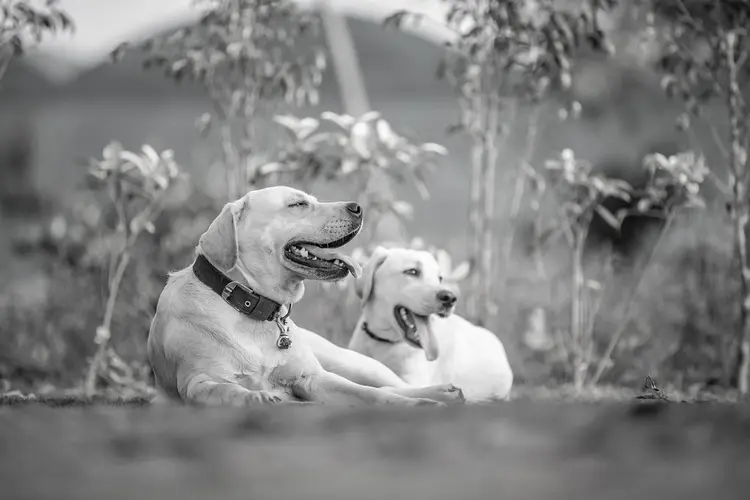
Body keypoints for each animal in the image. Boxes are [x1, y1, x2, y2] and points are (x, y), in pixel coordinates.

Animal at [148, 187, 468, 406]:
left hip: (355, 363)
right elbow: (227, 390)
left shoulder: (313, 378)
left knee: (388, 385)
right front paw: (258, 397)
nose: (357, 207)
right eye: (298, 204)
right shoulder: (196, 382)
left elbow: (373, 394)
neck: (252, 309)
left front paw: (420, 403)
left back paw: (441, 392)